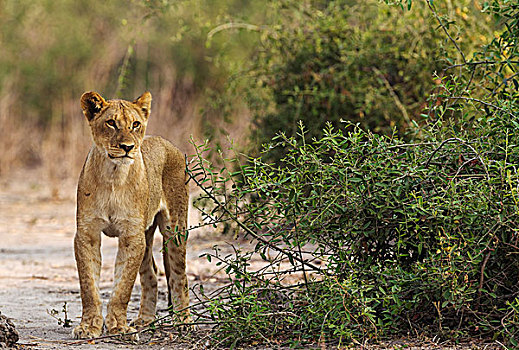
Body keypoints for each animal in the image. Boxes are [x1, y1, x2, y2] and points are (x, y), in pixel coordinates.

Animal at [71, 91, 189, 340]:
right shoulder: (87, 234)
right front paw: (89, 327)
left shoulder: (131, 236)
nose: (127, 147)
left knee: (179, 275)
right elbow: (89, 286)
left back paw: (184, 321)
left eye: (135, 124)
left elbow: (123, 287)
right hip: (146, 235)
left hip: (175, 229)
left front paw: (119, 328)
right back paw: (145, 320)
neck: (113, 176)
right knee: (151, 274)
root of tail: (167, 142)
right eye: (111, 123)